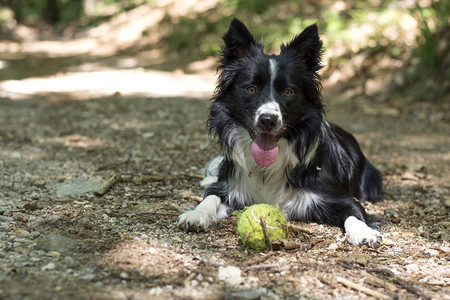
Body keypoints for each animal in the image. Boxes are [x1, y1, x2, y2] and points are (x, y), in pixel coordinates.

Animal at [178, 19, 382, 248]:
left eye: (288, 92)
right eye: (251, 89)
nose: (268, 120)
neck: (267, 168)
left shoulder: (338, 197)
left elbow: (355, 212)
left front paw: (364, 232)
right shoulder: (230, 186)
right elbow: (210, 196)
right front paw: (197, 214)